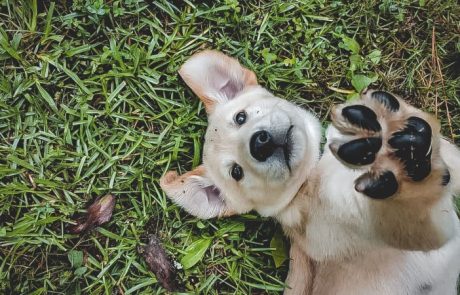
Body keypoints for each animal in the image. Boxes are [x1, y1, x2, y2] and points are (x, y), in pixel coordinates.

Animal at [159, 49, 460, 294]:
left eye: (240, 117)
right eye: (236, 172)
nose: (260, 143)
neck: (314, 174)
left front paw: (389, 117)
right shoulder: (417, 229)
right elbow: (412, 206)